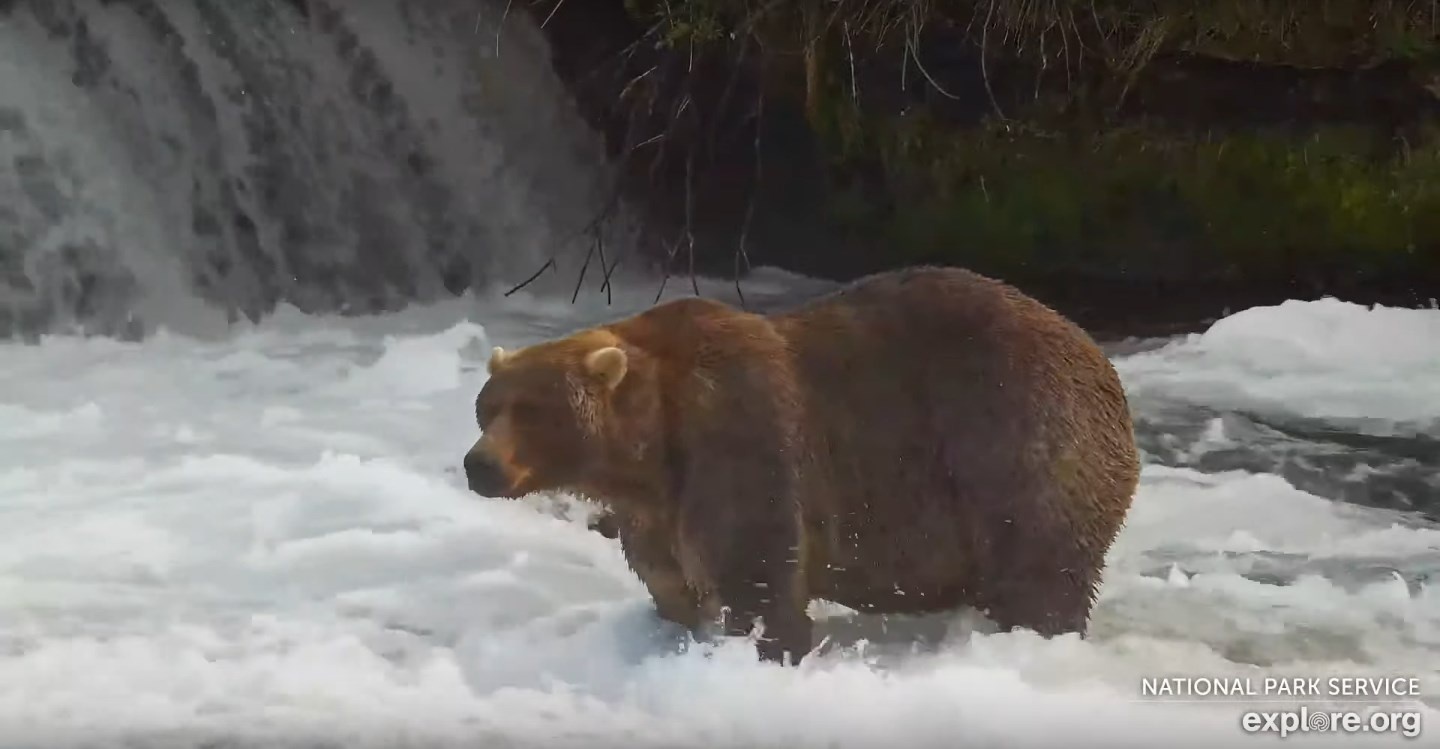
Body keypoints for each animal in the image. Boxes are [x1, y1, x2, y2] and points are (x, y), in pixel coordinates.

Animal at [466, 266, 1140, 665]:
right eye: (487, 407)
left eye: (531, 410)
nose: (479, 465)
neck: (651, 449)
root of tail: (1102, 364)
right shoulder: (655, 511)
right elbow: (670, 582)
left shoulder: (740, 442)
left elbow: (758, 576)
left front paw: (770, 648)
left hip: (1017, 440)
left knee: (1039, 569)